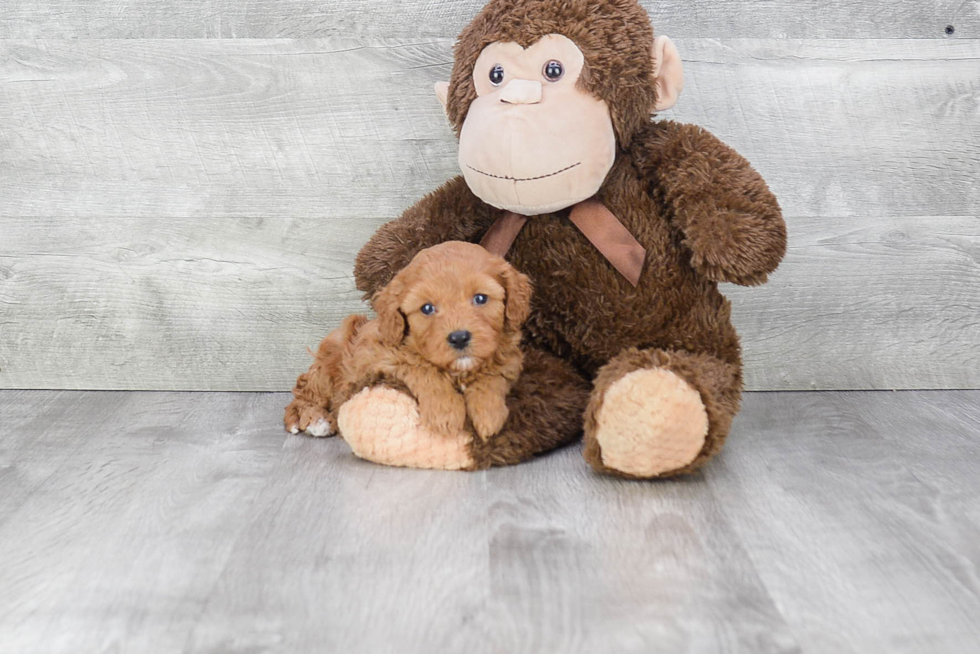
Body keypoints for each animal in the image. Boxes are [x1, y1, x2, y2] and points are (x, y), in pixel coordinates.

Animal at [280, 243, 532, 444]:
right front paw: (446, 413)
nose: (459, 337)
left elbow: (492, 377)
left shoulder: (510, 359)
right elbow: (423, 369)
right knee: (306, 388)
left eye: (480, 298)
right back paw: (314, 418)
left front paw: (489, 415)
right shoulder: (382, 354)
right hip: (333, 351)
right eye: (427, 308)